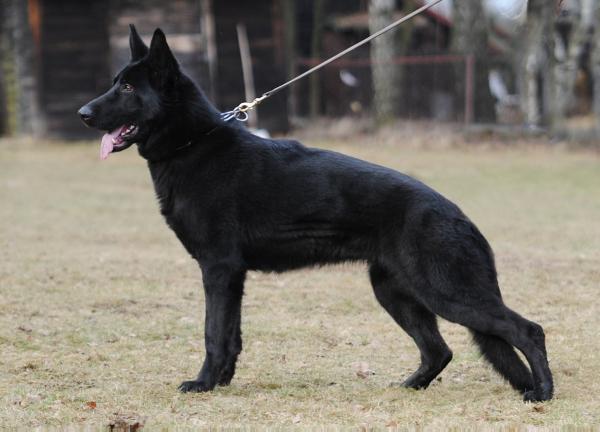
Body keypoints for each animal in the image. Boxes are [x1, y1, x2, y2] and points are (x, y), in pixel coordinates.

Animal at [78, 25, 553, 402]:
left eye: (127, 89)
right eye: (116, 83)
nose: (82, 113)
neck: (193, 142)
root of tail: (460, 216)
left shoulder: (218, 270)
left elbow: (214, 333)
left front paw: (204, 384)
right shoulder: (232, 277)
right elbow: (231, 336)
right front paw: (223, 382)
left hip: (445, 293)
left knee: (528, 330)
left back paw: (543, 392)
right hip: (395, 294)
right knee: (441, 350)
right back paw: (411, 387)